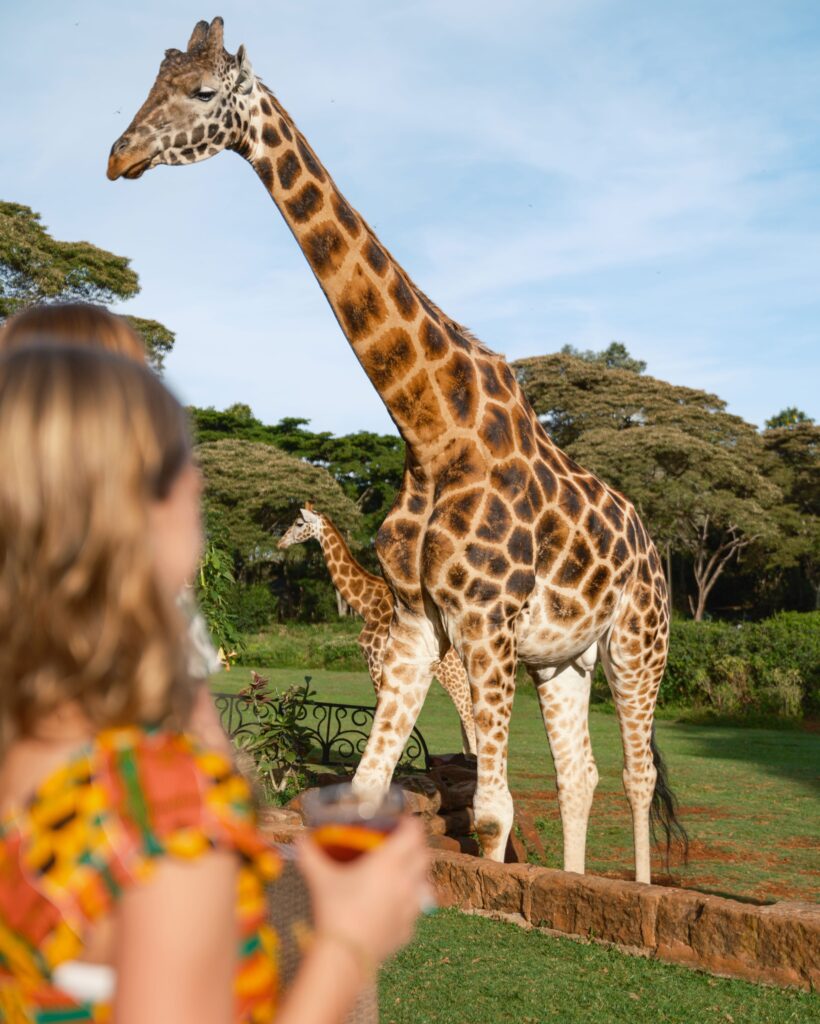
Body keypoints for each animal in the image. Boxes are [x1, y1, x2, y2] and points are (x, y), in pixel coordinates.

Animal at [278, 505, 477, 761]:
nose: (280, 543)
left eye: (299, 523)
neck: (367, 604)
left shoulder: (376, 658)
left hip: (454, 675)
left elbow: (380, 712)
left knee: (469, 717)